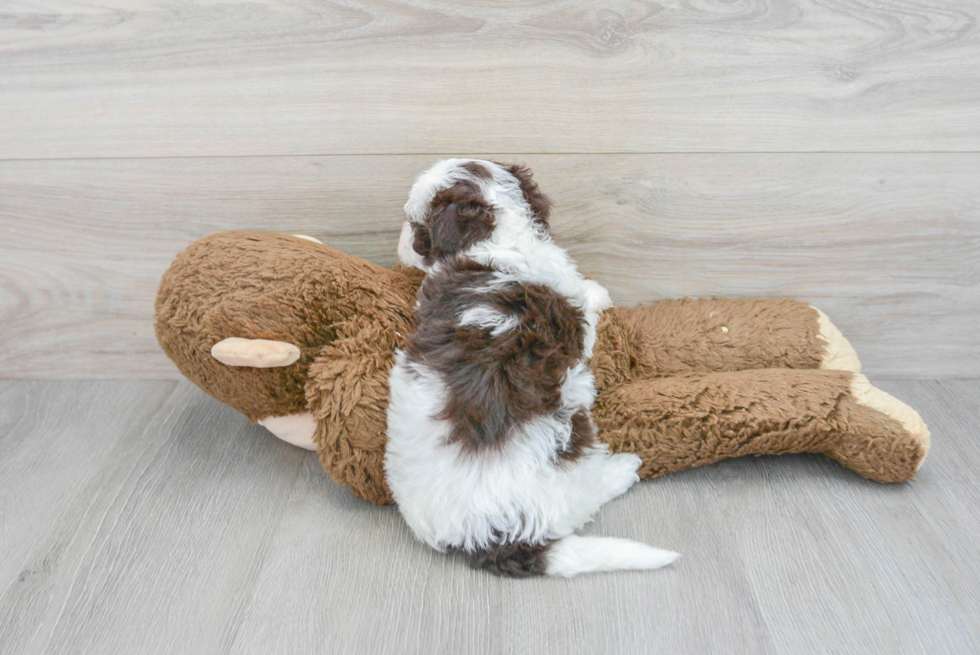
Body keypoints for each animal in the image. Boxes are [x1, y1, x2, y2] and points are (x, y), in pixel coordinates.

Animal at [384, 161, 680, 576]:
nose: (398, 245)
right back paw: (623, 469)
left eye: (415, 228)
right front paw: (600, 293)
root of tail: (493, 537)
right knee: (587, 491)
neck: (499, 236)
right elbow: (586, 299)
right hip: (572, 448)